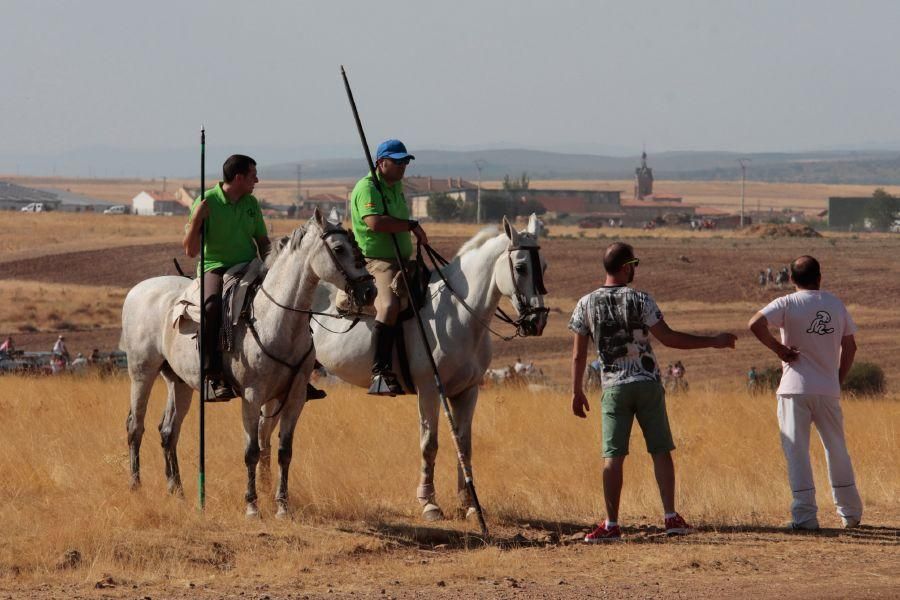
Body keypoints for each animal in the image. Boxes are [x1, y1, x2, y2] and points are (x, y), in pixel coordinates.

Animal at [119, 210, 372, 516]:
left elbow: (284, 451)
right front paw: (252, 505)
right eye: (339, 249)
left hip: (179, 382)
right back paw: (136, 487)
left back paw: (176, 491)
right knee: (135, 426)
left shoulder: (294, 397)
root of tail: (137, 290)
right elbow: (251, 450)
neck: (275, 318)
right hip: (141, 373)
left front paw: (282, 505)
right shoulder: (252, 396)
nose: (369, 291)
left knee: (168, 431)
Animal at [256, 214, 544, 520]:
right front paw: (429, 503)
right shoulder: (430, 390)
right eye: (521, 267)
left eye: (544, 267)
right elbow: (429, 444)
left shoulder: (467, 392)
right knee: (264, 428)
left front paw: (469, 506)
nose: (537, 321)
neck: (459, 312)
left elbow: (464, 446)